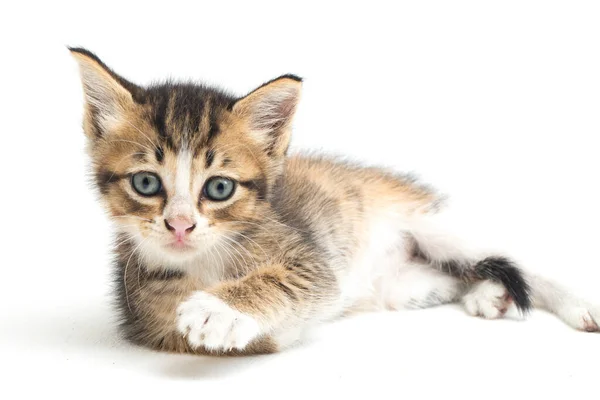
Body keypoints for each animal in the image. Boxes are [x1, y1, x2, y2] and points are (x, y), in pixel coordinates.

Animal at [71, 47, 600, 356]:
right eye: (146, 183)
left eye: (219, 188)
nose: (180, 225)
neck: (210, 261)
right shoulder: (147, 313)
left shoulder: (313, 263)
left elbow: (288, 283)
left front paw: (218, 309)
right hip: (404, 286)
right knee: (455, 274)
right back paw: (487, 293)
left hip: (434, 225)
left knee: (515, 259)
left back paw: (576, 303)